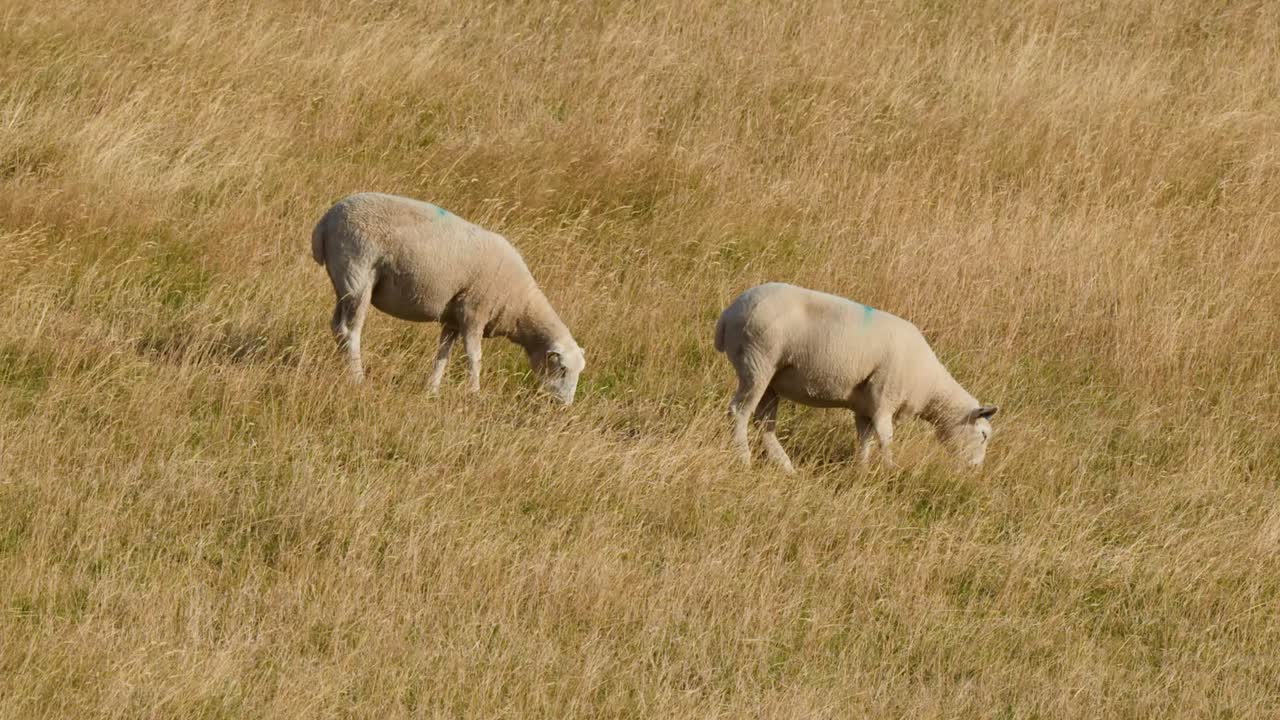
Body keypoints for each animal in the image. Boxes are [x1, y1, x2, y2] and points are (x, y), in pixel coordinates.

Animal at [310, 192, 586, 404]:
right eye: (562, 369)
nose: (564, 406)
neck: (520, 306)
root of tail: (325, 222)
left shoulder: (452, 319)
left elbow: (442, 355)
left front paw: (432, 390)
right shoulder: (473, 313)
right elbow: (474, 358)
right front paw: (475, 393)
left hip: (343, 281)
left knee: (337, 327)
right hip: (358, 274)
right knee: (351, 331)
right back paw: (357, 377)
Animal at [714, 282, 997, 471]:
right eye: (983, 435)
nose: (975, 469)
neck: (930, 387)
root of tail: (728, 313)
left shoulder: (864, 407)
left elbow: (865, 440)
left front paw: (861, 470)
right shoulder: (884, 398)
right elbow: (886, 438)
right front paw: (890, 470)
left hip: (772, 379)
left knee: (765, 423)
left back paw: (785, 466)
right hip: (757, 362)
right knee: (739, 411)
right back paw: (744, 458)